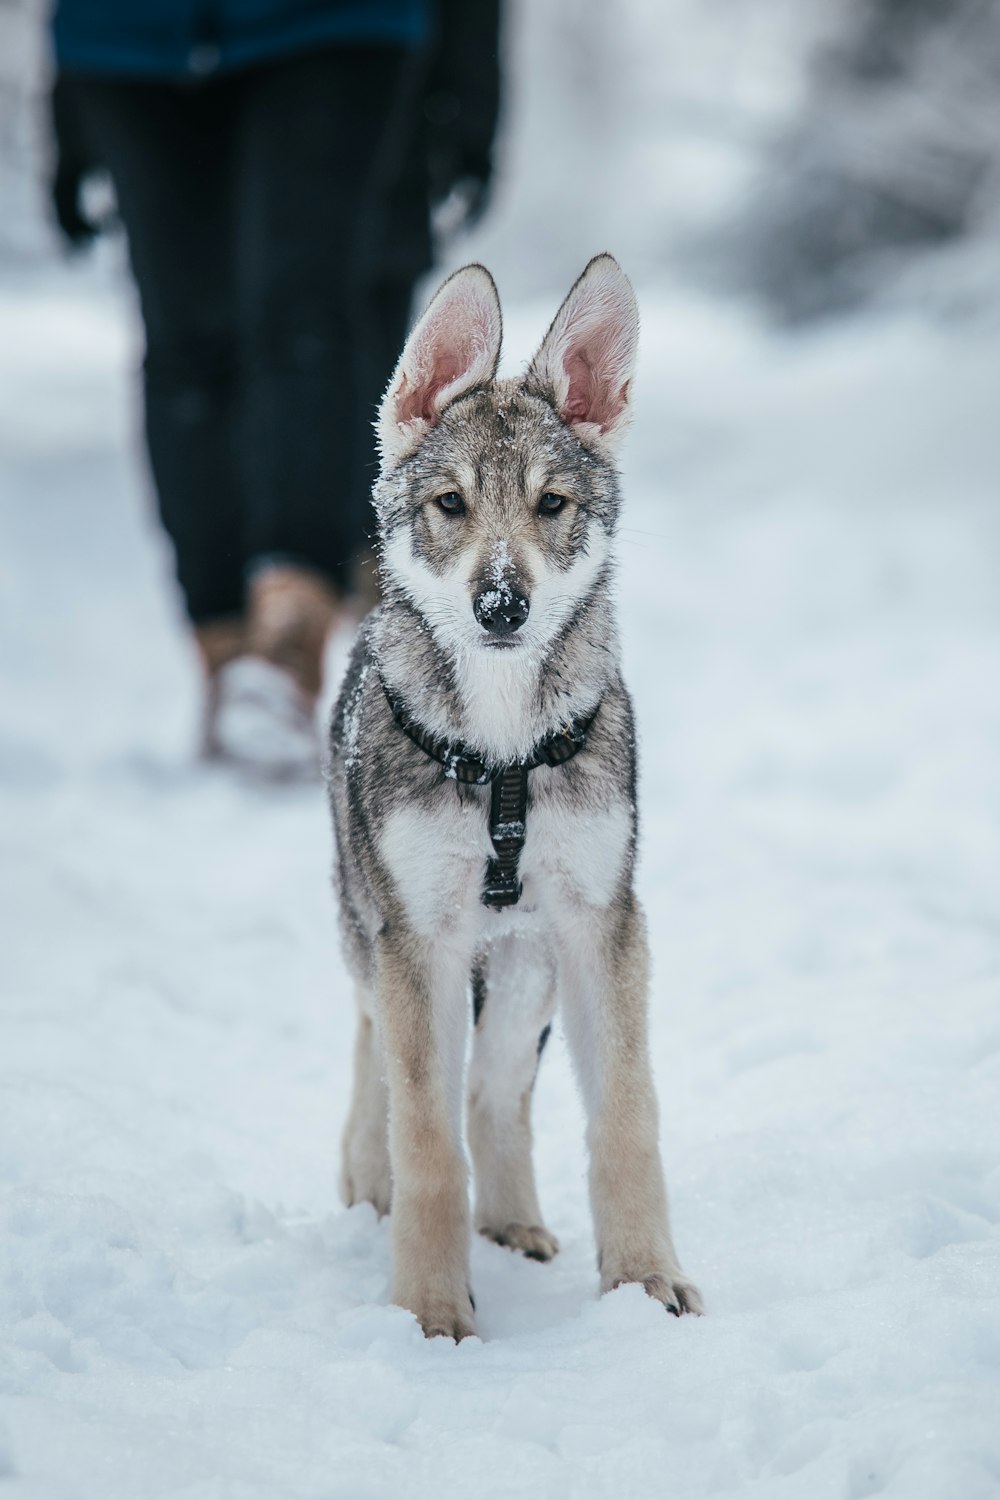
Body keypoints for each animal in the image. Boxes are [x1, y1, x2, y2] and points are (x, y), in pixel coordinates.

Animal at [329, 252, 704, 1344]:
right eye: (452, 504)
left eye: (551, 505)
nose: (502, 605)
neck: (499, 755)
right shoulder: (416, 944)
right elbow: (424, 1142)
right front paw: (427, 1312)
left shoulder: (601, 926)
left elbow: (625, 1118)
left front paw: (646, 1283)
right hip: (380, 942)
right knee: (379, 1059)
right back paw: (366, 1185)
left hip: (524, 970)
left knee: (494, 1095)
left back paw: (513, 1224)